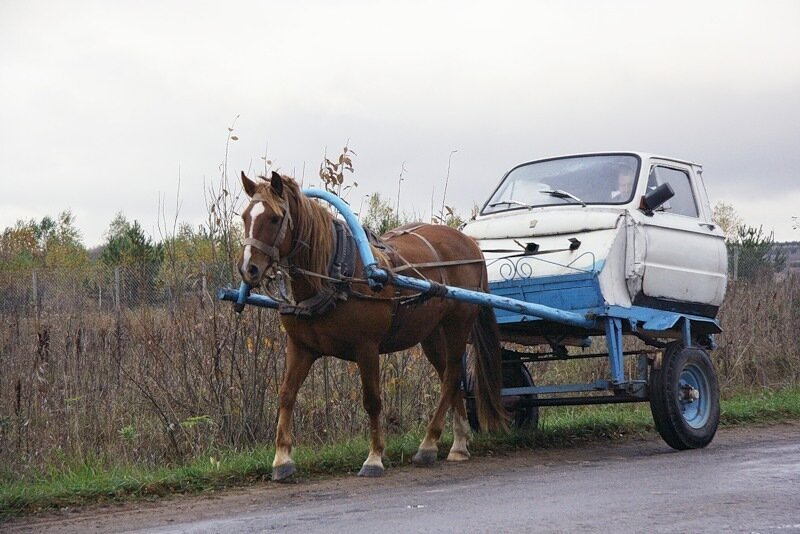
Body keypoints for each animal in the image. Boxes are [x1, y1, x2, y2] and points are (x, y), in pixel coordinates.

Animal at [234, 172, 506, 482]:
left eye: (274, 219)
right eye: (245, 216)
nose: (248, 268)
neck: (333, 273)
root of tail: (470, 243)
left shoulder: (366, 348)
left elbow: (372, 400)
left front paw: (374, 457)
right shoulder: (300, 347)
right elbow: (286, 395)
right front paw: (282, 459)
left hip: (458, 324)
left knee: (450, 377)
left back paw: (428, 444)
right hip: (432, 334)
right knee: (452, 375)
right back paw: (458, 443)